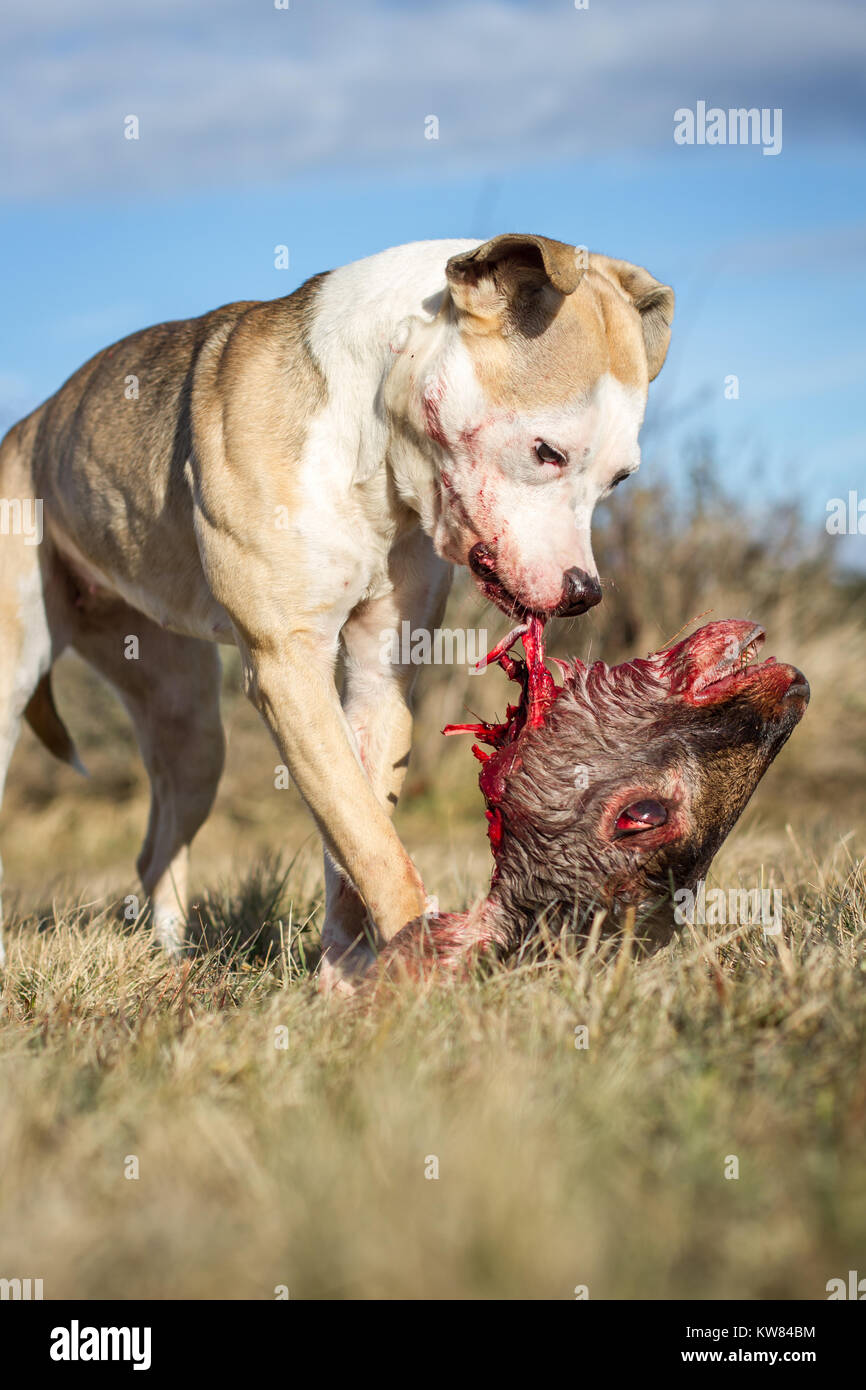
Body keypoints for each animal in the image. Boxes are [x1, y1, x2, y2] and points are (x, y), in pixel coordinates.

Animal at [0, 236, 675, 978]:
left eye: (619, 479)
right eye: (547, 451)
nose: (585, 592)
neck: (372, 441)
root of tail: (28, 429)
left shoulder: (379, 681)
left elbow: (356, 834)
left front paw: (349, 975)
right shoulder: (288, 666)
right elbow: (369, 839)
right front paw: (419, 967)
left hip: (187, 724)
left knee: (157, 853)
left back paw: (174, 963)